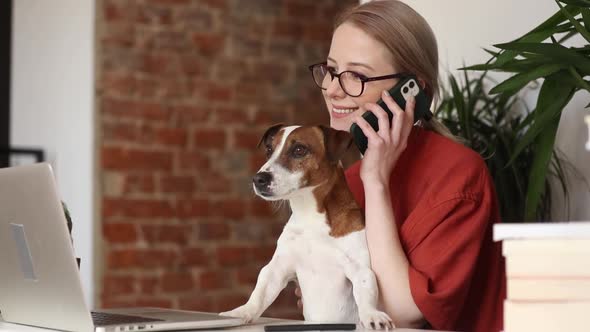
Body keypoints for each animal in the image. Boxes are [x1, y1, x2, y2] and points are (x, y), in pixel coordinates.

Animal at [220, 124, 396, 330]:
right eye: (269, 150)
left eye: (299, 150)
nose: (258, 179)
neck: (310, 217)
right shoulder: (277, 269)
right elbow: (260, 292)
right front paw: (241, 312)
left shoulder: (359, 268)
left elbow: (365, 291)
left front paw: (372, 314)